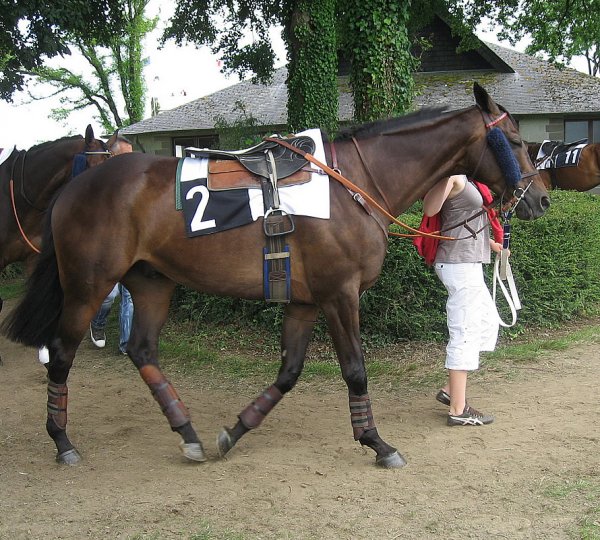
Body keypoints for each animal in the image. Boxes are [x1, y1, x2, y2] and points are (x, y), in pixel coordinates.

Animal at [2, 84, 552, 468]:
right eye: (517, 141)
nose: (542, 199)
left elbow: (288, 372)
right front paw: (376, 441)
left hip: (152, 281)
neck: (356, 184)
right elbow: (355, 370)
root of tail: (76, 186)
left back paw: (187, 432)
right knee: (63, 353)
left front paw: (236, 430)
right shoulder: (340, 295)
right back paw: (62, 440)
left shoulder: (305, 301)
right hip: (87, 286)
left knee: (141, 350)